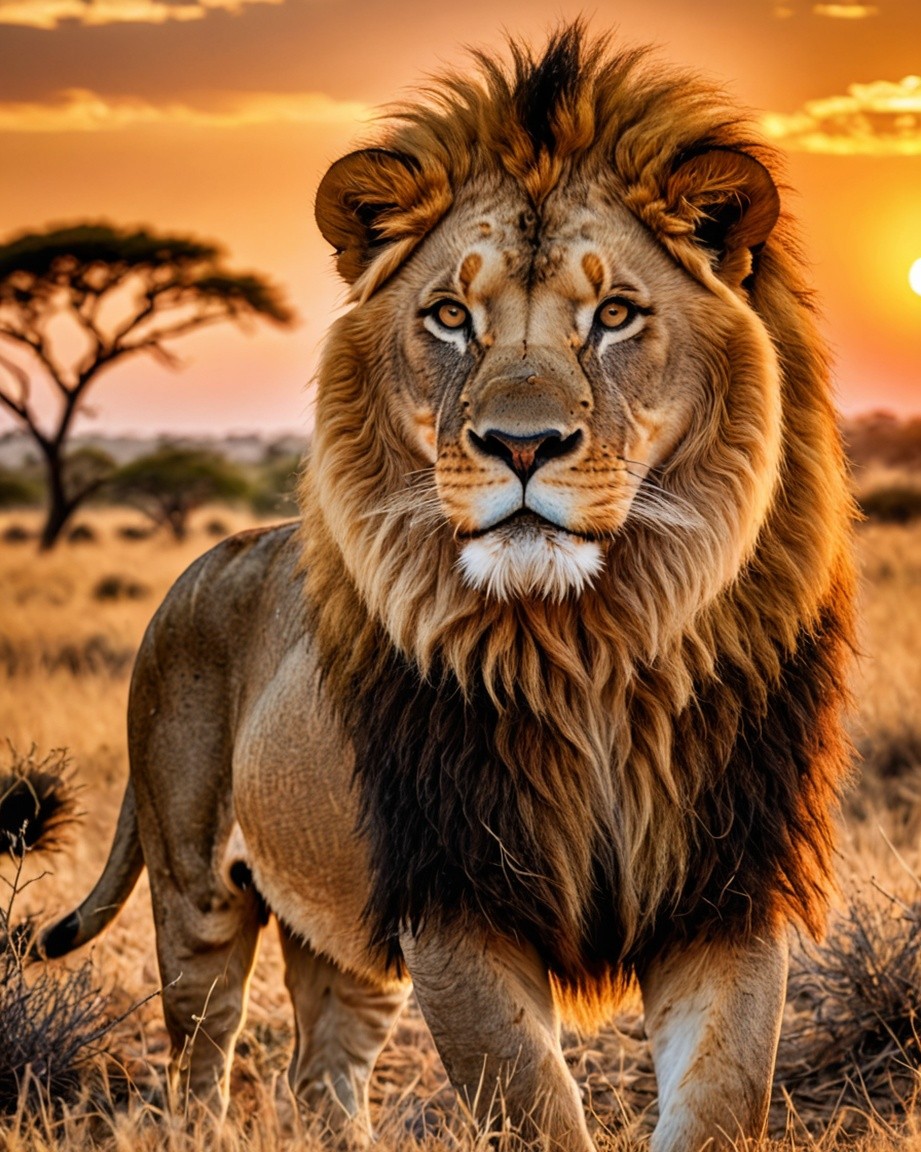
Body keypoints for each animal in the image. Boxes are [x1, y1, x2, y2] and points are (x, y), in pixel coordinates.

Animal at [37, 26, 854, 1152]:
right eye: (451, 316)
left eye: (614, 314)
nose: (521, 443)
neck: (591, 645)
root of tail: (199, 566)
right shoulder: (452, 896)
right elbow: (529, 1099)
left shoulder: (724, 881)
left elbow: (723, 1099)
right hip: (195, 885)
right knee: (199, 1061)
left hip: (342, 929)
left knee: (322, 1072)